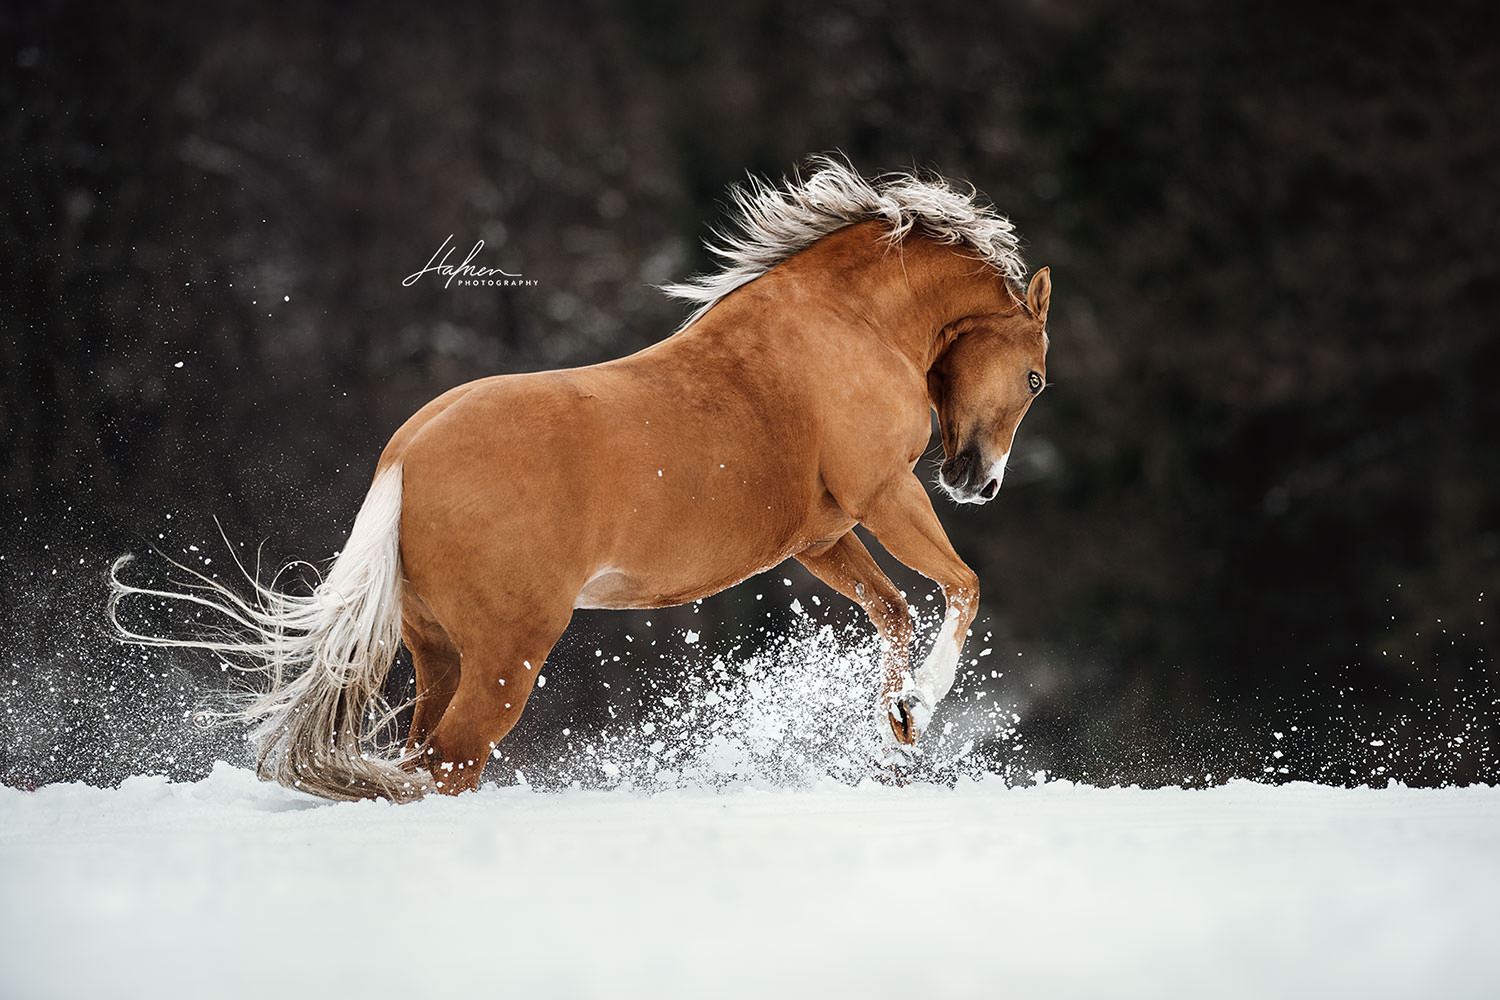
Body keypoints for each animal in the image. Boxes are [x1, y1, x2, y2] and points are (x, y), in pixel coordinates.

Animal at [109, 156, 1051, 801]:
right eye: (1038, 378)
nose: (981, 484)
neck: (846, 323)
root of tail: (405, 457)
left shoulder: (820, 536)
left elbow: (893, 611)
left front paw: (901, 721)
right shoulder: (886, 493)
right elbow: (961, 586)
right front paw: (924, 701)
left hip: (439, 652)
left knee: (420, 757)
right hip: (506, 659)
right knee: (445, 764)